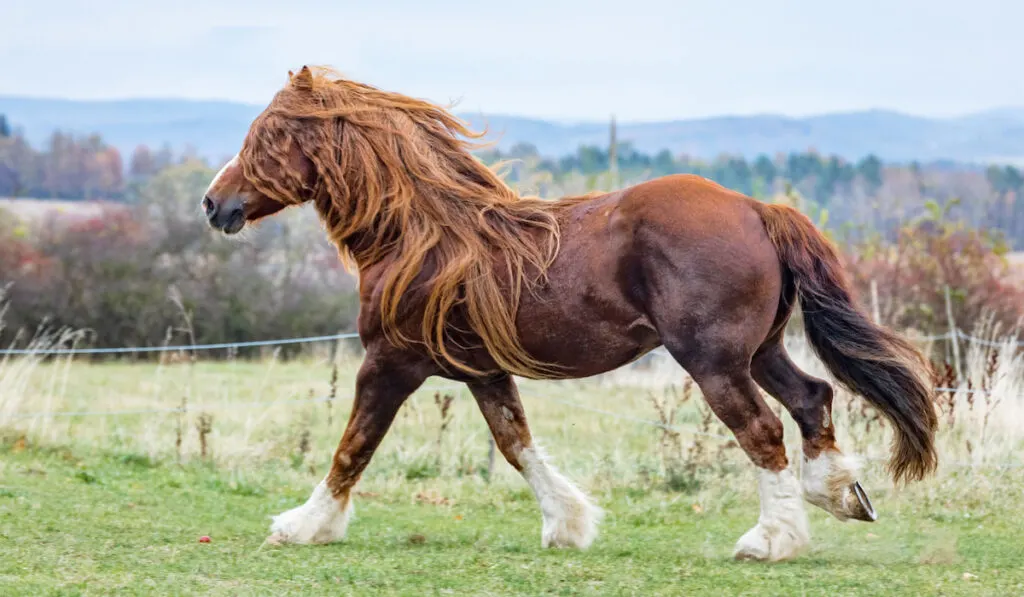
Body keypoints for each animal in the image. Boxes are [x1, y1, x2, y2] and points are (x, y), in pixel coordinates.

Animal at [199, 67, 937, 561]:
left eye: (267, 133)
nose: (213, 203)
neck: (422, 238)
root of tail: (758, 209)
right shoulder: (480, 371)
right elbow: (515, 443)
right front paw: (569, 523)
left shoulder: (391, 363)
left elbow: (353, 445)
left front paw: (304, 525)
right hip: (760, 350)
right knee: (812, 397)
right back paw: (840, 494)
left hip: (714, 362)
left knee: (762, 430)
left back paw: (770, 539)